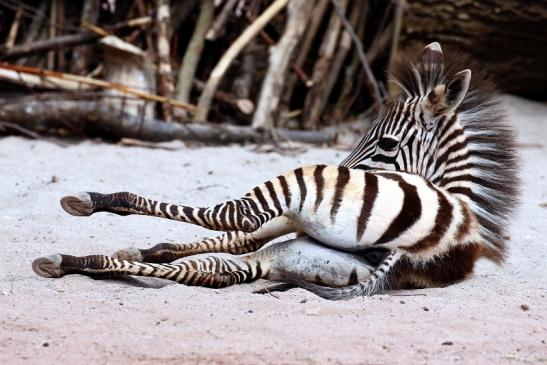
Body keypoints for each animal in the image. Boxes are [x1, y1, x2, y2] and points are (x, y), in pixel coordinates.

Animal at [32, 42, 520, 298]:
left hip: (298, 192)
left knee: (235, 217)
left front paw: (144, 247)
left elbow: (235, 229)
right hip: (281, 253)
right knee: (218, 264)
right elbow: (231, 239)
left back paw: (86, 217)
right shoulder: (293, 224)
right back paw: (94, 260)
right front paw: (151, 250)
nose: (346, 173)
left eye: (386, 144)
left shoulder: (296, 209)